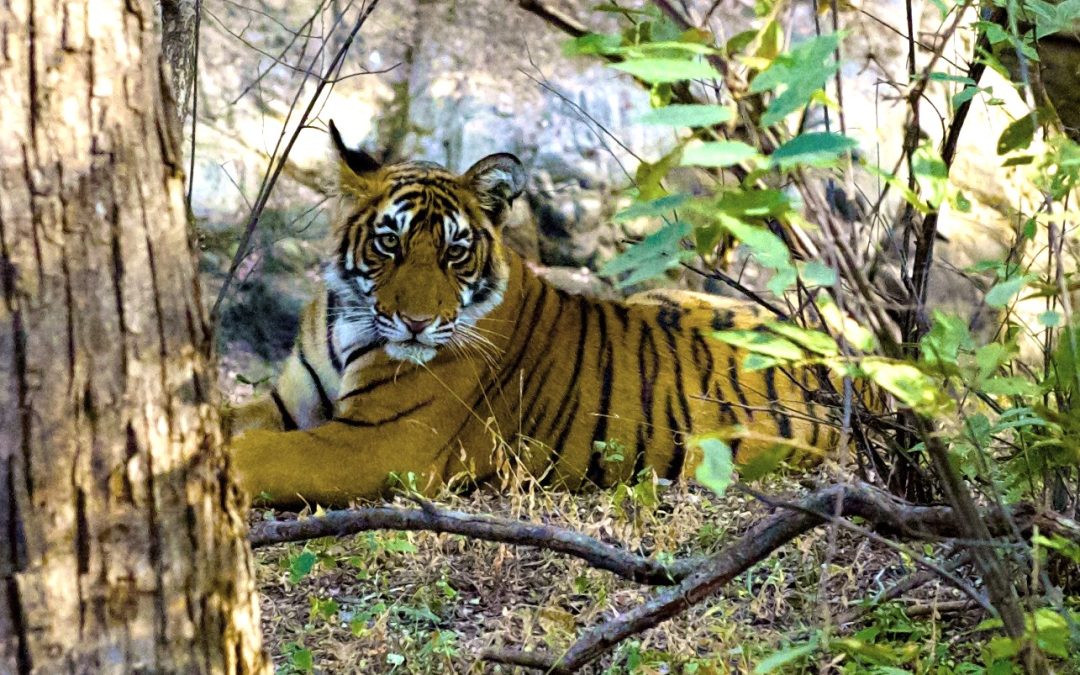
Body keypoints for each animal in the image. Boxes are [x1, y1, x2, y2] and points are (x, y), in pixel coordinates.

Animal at [227, 119, 859, 505]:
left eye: (455, 252)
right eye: (390, 244)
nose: (417, 323)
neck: (348, 319)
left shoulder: (379, 443)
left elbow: (254, 454)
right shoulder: (290, 403)